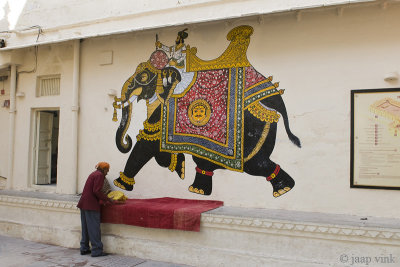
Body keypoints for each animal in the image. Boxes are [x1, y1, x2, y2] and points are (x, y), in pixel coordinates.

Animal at [111, 26, 300, 198]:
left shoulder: (165, 107)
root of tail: (275, 97)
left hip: (255, 127)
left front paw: (121, 185)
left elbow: (147, 140)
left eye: (143, 77)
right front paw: (179, 166)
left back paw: (283, 189)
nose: (126, 140)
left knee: (254, 163)